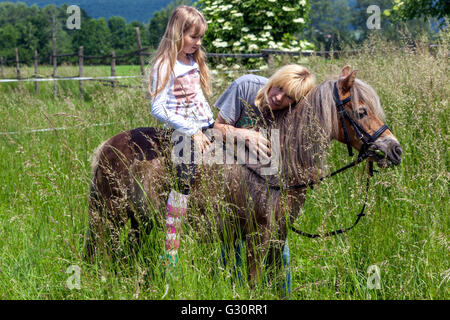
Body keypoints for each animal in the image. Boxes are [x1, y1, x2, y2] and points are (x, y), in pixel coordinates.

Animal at [86, 66, 402, 286]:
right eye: (361, 111)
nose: (395, 150)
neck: (275, 166)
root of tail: (107, 145)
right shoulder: (257, 234)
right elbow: (253, 280)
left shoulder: (279, 233)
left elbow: (275, 277)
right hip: (109, 216)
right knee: (103, 252)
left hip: (138, 221)